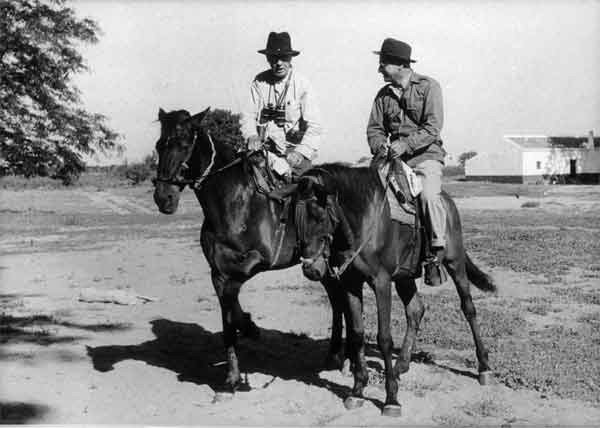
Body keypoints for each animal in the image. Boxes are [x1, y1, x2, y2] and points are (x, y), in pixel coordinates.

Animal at [151, 108, 346, 392]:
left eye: (184, 145)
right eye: (159, 145)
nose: (163, 197)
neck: (234, 204)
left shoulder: (258, 260)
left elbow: (232, 297)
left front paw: (251, 327)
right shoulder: (217, 272)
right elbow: (227, 318)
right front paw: (233, 375)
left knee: (340, 299)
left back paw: (339, 357)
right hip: (320, 266)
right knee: (337, 299)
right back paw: (334, 356)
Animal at [292, 162, 496, 416]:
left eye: (319, 216)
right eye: (294, 218)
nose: (311, 269)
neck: (364, 220)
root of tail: (447, 201)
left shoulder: (381, 283)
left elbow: (384, 338)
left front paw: (391, 399)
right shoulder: (351, 283)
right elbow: (357, 333)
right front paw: (357, 390)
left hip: (455, 263)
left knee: (468, 308)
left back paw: (484, 367)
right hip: (405, 277)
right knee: (416, 310)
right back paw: (402, 365)